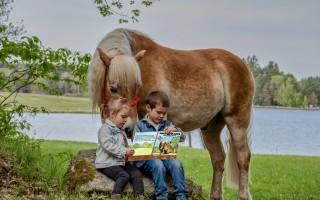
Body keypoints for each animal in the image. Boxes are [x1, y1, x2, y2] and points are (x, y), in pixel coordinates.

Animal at [88, 28, 255, 200]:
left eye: (137, 86)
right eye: (113, 88)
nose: (128, 128)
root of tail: (243, 65)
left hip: (237, 121)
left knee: (243, 157)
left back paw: (243, 195)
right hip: (211, 127)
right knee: (218, 158)